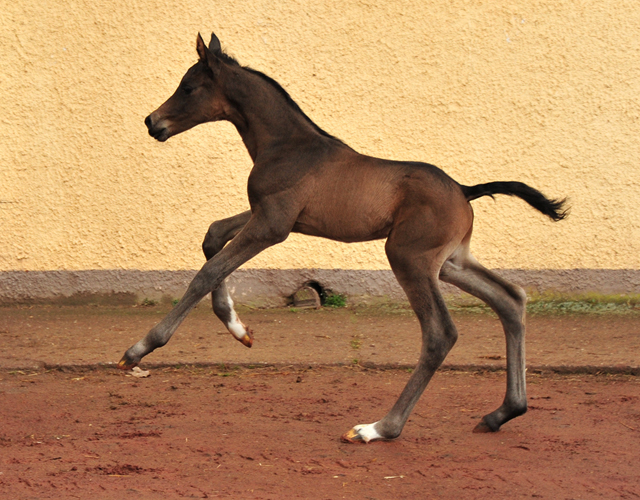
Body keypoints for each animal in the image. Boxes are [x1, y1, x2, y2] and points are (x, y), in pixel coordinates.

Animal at [119, 33, 564, 444]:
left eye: (188, 87)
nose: (152, 122)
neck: (286, 144)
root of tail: (464, 190)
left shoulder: (273, 225)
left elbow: (208, 271)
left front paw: (140, 348)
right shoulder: (272, 216)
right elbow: (212, 236)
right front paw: (238, 328)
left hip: (408, 257)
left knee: (441, 333)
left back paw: (380, 428)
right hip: (451, 262)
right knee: (511, 299)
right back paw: (502, 412)